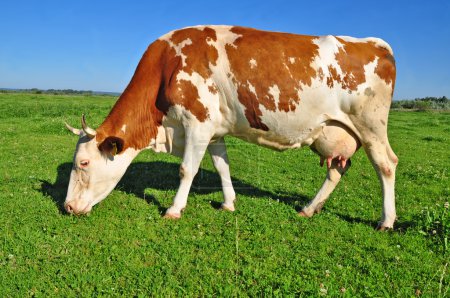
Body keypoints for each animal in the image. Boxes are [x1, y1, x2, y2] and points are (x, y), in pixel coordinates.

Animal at [64, 25, 398, 230]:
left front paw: (174, 209)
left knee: (386, 165)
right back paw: (308, 208)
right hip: (337, 131)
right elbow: (222, 166)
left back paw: (387, 221)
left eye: (83, 163)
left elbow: (186, 169)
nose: (67, 207)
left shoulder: (197, 122)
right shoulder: (213, 130)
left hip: (371, 125)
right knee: (337, 170)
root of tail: (375, 43)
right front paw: (228, 203)